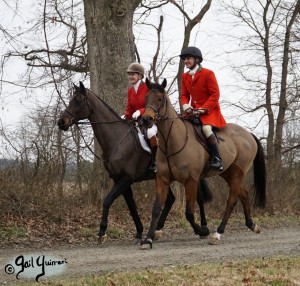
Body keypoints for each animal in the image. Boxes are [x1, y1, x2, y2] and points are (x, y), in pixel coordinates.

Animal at [57, 81, 213, 242]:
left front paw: (102, 231)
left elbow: (107, 200)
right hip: (162, 177)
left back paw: (203, 227)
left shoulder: (126, 178)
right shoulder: (118, 179)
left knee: (198, 198)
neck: (117, 139)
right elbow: (131, 205)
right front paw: (139, 231)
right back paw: (158, 229)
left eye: (78, 100)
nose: (61, 122)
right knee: (171, 199)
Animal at [142, 78, 266, 248]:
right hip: (229, 173)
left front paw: (202, 230)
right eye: (146, 98)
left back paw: (218, 233)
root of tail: (249, 134)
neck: (171, 142)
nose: (146, 119)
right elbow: (156, 209)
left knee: (231, 201)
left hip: (238, 173)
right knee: (244, 194)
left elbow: (189, 212)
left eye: (160, 99)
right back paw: (252, 225)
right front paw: (148, 238)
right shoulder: (162, 179)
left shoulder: (191, 181)